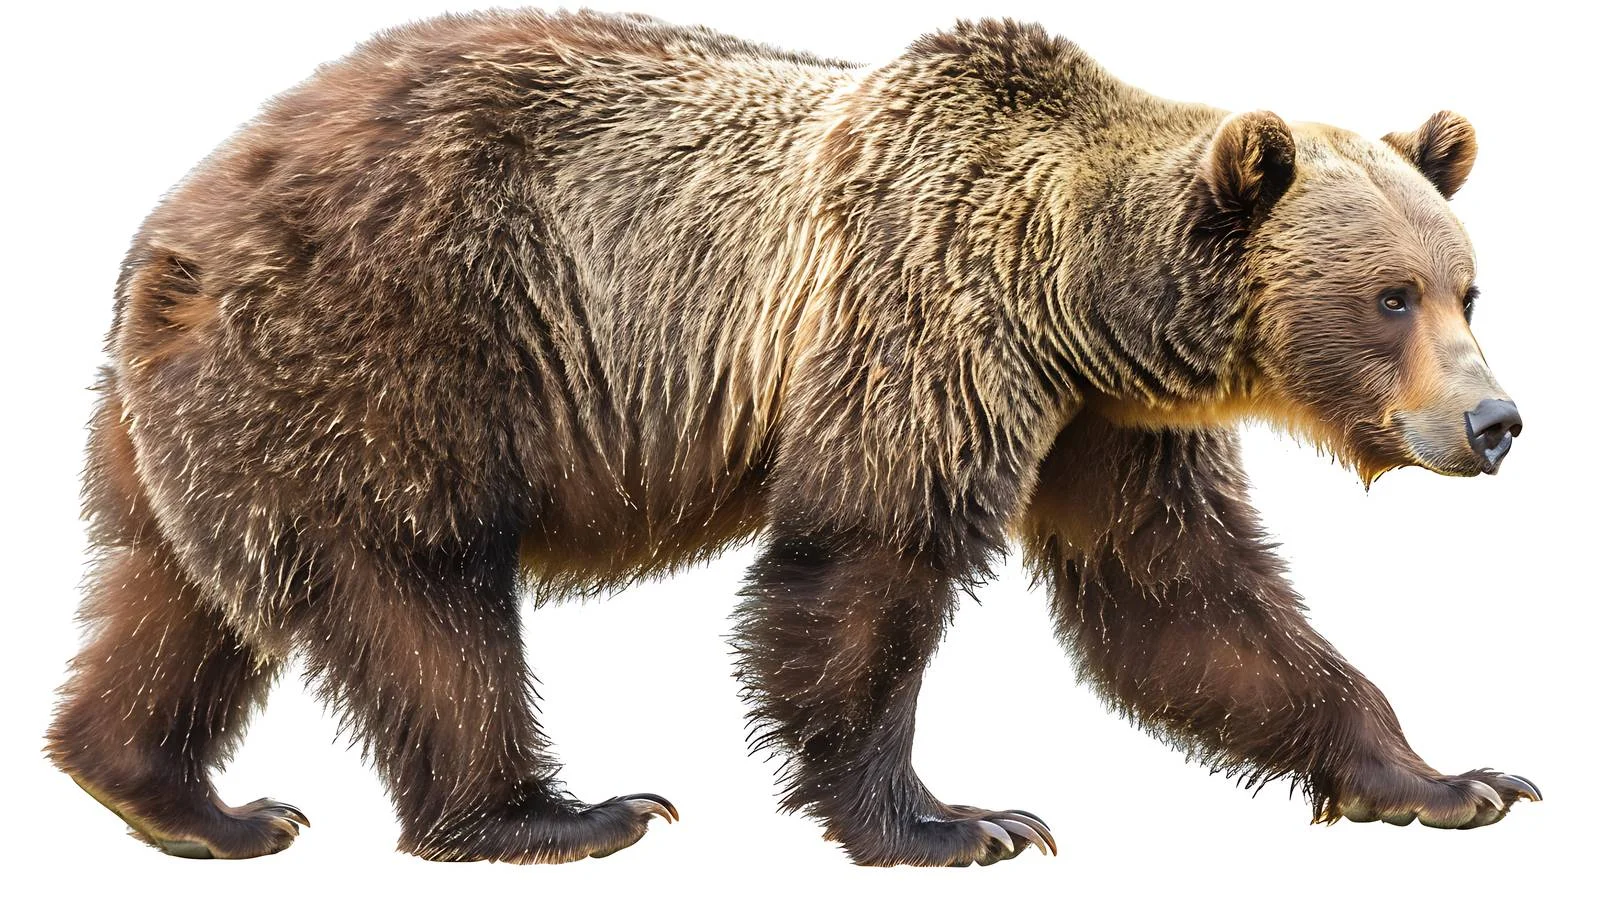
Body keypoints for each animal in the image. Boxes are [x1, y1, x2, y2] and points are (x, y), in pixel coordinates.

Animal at [45, 8, 1540, 867]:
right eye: (1389, 295)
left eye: (1466, 286)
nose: (1495, 420)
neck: (1076, 301)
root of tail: (175, 222)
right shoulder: (924, 321)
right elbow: (867, 561)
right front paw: (952, 820)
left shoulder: (1104, 422)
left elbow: (1188, 601)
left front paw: (1452, 779)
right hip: (394, 347)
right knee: (426, 599)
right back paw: (553, 814)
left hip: (187, 417)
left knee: (169, 598)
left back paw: (180, 799)